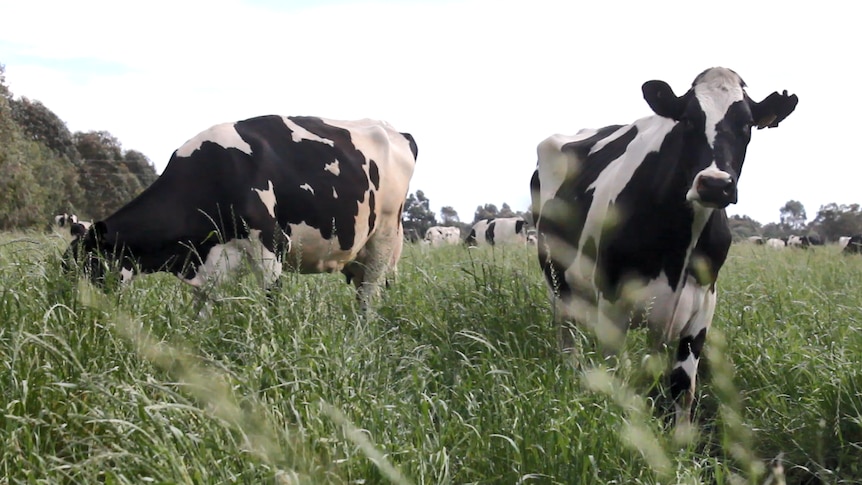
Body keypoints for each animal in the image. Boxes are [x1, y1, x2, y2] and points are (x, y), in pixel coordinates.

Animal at [63, 115, 418, 308]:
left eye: (90, 266)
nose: (75, 315)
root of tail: (396, 131)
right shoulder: (213, 260)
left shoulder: (271, 244)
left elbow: (272, 305)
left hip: (383, 240)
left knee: (368, 300)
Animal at [532, 66, 804, 422]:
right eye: (688, 119)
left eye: (746, 124)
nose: (714, 184)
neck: (680, 249)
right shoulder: (612, 301)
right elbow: (617, 372)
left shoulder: (702, 305)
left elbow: (681, 385)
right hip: (558, 281)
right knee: (567, 335)